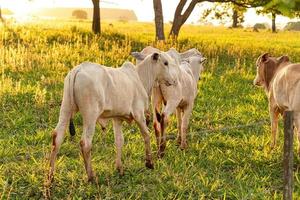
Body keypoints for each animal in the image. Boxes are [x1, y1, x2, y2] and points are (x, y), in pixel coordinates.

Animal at [48, 52, 177, 183]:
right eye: (165, 63)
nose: (174, 80)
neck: (141, 78)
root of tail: (77, 70)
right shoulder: (139, 114)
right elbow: (146, 135)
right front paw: (149, 163)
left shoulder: (117, 118)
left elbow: (119, 140)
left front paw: (119, 169)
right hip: (90, 115)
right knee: (85, 143)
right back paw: (91, 177)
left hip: (66, 108)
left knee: (57, 137)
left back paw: (50, 176)